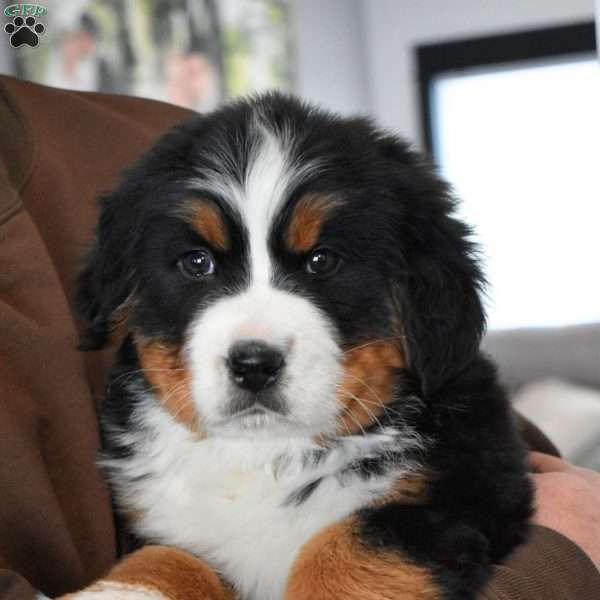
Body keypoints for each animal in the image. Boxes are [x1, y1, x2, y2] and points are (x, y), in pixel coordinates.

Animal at [72, 94, 532, 600]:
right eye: (197, 262)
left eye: (322, 261)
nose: (254, 364)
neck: (266, 454)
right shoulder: (167, 524)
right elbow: (169, 556)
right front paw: (122, 590)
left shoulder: (459, 494)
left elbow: (347, 549)